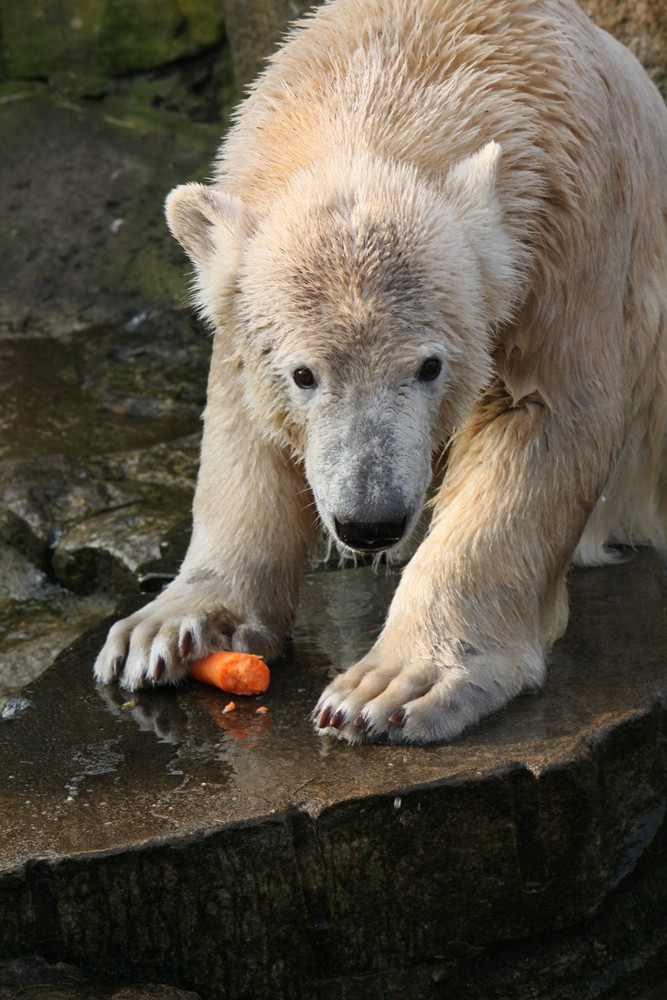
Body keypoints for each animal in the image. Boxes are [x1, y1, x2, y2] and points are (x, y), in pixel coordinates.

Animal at [92, 0, 667, 744]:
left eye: (429, 366)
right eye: (302, 374)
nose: (370, 522)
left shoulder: (569, 231)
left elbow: (540, 421)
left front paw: (394, 685)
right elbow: (244, 423)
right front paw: (170, 628)